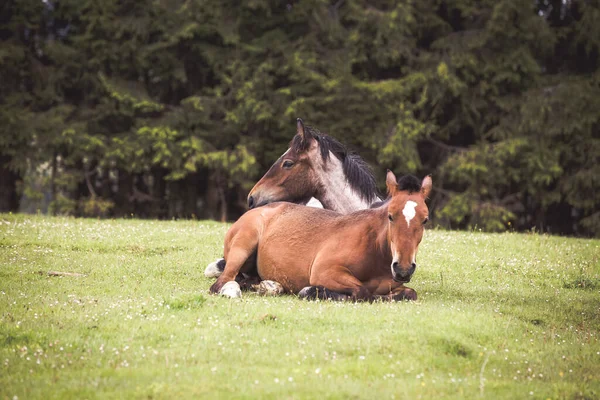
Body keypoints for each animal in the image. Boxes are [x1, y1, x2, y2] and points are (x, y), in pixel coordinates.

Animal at [211, 171, 432, 300]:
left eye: (425, 220)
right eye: (391, 216)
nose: (403, 269)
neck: (374, 250)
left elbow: (409, 293)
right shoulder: (324, 271)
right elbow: (363, 292)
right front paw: (310, 291)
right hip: (243, 246)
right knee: (221, 283)